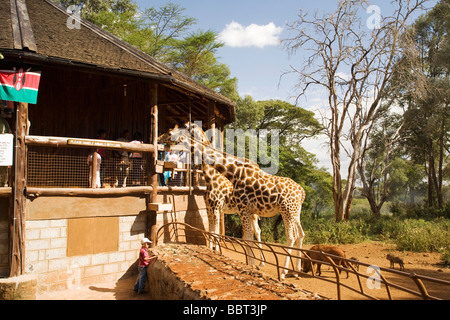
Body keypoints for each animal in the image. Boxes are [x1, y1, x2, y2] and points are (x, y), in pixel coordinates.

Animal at [165, 122, 306, 278]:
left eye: (184, 129)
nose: (166, 136)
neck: (233, 172)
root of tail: (302, 192)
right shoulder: (220, 208)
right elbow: (227, 233)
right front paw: (247, 262)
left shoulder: (237, 208)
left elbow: (243, 236)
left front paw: (249, 264)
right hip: (295, 212)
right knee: (300, 234)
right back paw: (296, 271)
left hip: (287, 211)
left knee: (291, 236)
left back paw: (283, 271)